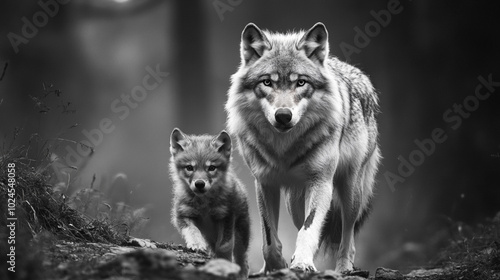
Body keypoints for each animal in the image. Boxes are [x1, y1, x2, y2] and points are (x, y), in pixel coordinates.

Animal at [225, 22, 380, 274]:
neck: (284, 148)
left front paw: (301, 263)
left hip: (350, 192)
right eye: (267, 82)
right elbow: (269, 239)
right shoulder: (265, 182)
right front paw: (276, 266)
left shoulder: (321, 182)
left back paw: (343, 267)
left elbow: (309, 229)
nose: (283, 116)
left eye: (300, 82)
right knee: (303, 227)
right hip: (294, 202)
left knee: (347, 235)